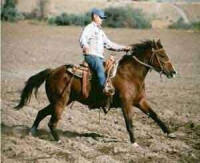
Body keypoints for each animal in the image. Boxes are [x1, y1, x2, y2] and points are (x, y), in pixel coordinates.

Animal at [15, 39, 177, 144]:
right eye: (162, 55)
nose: (173, 72)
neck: (130, 75)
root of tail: (52, 71)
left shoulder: (140, 101)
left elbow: (155, 115)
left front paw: (170, 133)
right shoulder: (126, 104)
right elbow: (129, 123)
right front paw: (134, 143)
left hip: (60, 101)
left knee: (41, 112)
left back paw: (32, 132)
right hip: (60, 102)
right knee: (52, 122)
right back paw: (59, 141)